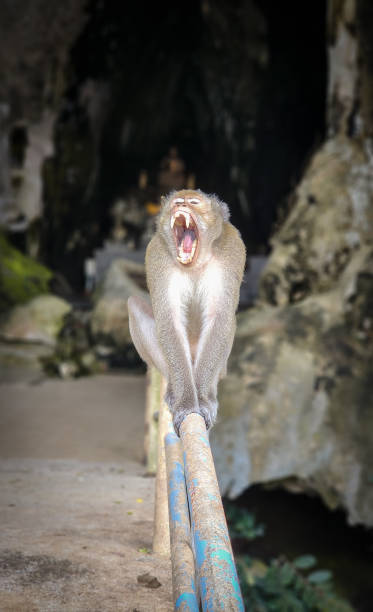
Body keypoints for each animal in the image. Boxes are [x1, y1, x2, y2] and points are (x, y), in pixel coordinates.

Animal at [126, 189, 246, 432]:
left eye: (193, 202)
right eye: (177, 202)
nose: (180, 206)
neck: (196, 262)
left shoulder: (233, 250)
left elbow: (220, 319)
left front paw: (203, 401)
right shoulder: (156, 254)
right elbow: (169, 322)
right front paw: (186, 404)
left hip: (220, 367)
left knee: (229, 323)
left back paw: (209, 395)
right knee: (134, 306)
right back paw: (174, 390)